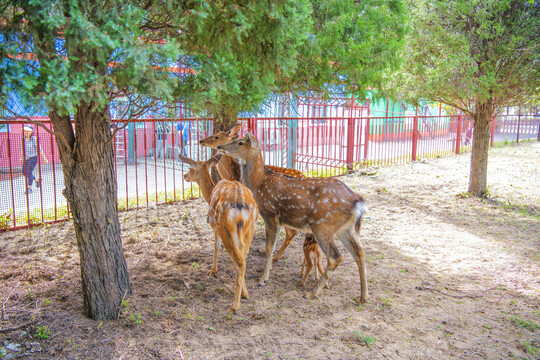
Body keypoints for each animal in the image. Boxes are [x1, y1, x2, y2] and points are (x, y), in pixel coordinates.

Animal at [179, 154, 260, 312]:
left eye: (191, 168)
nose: (185, 176)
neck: (210, 194)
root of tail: (241, 206)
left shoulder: (214, 225)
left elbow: (215, 246)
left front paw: (213, 271)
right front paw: (244, 291)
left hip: (224, 227)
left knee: (239, 261)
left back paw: (234, 306)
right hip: (250, 227)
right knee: (244, 257)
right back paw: (245, 294)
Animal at [217, 133, 370, 300]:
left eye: (240, 142)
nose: (219, 146)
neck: (259, 184)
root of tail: (357, 202)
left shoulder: (270, 214)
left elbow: (269, 246)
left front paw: (263, 279)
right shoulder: (276, 220)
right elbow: (273, 245)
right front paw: (268, 272)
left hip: (323, 226)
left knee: (336, 257)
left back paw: (311, 293)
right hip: (344, 228)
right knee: (360, 252)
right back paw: (363, 296)